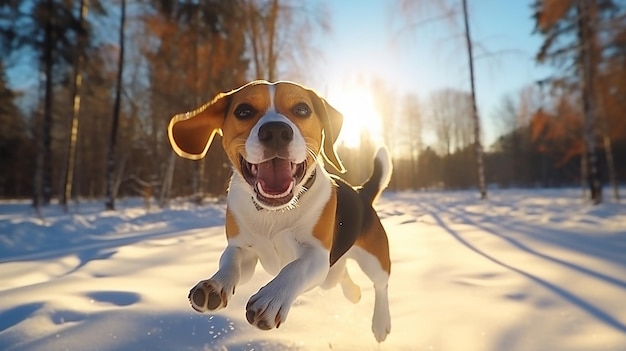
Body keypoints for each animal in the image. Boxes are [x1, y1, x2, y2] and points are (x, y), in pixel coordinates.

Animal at [166, 81, 390, 342]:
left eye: (302, 109)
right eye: (243, 111)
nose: (275, 131)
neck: (273, 213)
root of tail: (362, 193)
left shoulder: (317, 254)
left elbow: (294, 268)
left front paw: (272, 298)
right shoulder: (243, 250)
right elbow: (230, 264)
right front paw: (215, 284)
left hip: (374, 260)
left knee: (381, 285)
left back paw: (381, 322)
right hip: (331, 274)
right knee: (340, 275)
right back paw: (353, 293)